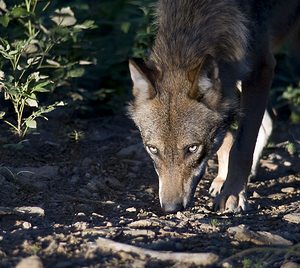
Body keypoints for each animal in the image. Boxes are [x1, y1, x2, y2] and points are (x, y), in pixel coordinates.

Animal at [127, 0, 298, 214]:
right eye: (153, 149)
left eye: (192, 148)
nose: (171, 207)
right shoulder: (233, 72)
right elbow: (227, 137)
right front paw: (224, 179)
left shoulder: (261, 69)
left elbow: (241, 148)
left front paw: (233, 194)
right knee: (270, 119)